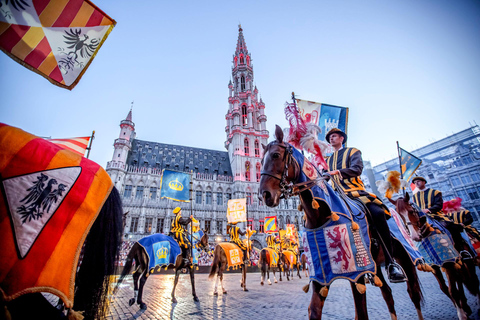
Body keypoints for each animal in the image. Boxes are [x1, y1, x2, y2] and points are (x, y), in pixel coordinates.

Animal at [258, 124, 424, 320]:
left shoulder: (358, 273)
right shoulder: (322, 275)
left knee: (413, 294)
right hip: (376, 266)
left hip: (407, 258)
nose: (264, 195)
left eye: (276, 155)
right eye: (261, 160)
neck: (321, 216)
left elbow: (362, 314)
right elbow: (315, 310)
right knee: (388, 295)